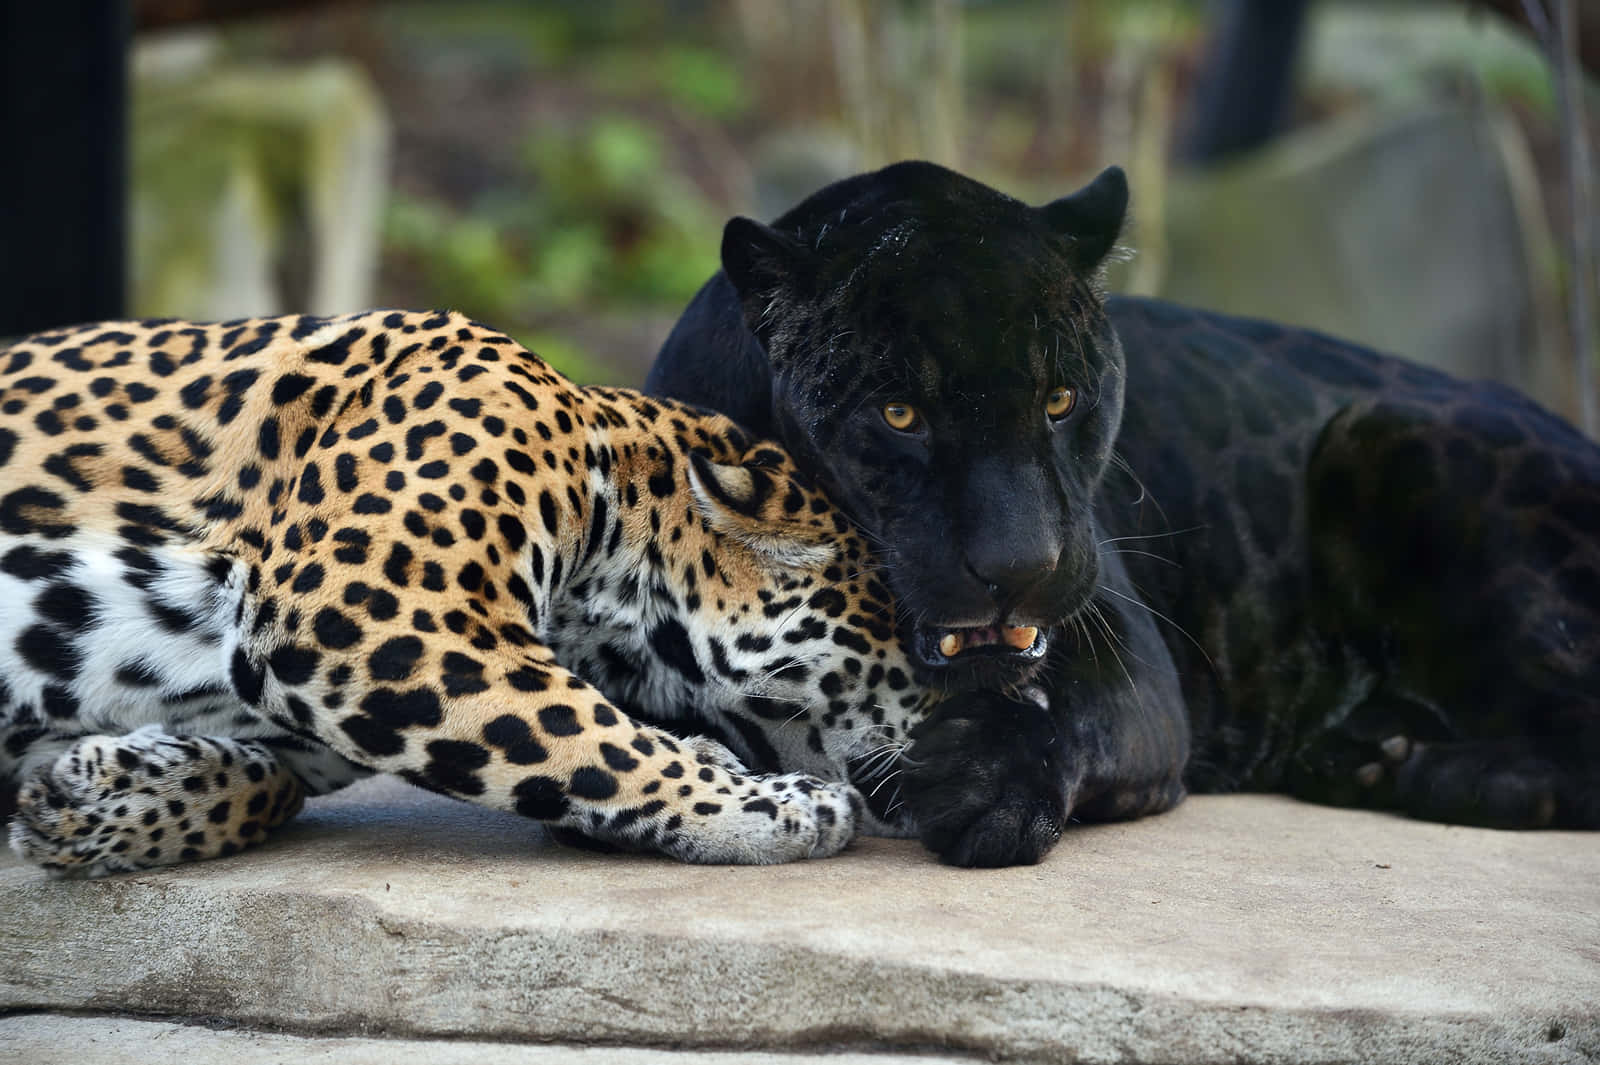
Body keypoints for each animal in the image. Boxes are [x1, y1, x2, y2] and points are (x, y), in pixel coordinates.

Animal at [0, 309, 935, 877]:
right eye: (925, 644)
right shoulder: (366, 611)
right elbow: (593, 735)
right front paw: (772, 805)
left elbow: (268, 783)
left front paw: (92, 795)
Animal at [646, 159, 1600, 866]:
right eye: (900, 414)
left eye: (1061, 398)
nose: (1021, 566)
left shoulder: (1133, 657)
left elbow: (1075, 719)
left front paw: (990, 785)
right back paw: (1367, 750)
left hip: (1394, 434)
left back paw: (1428, 770)